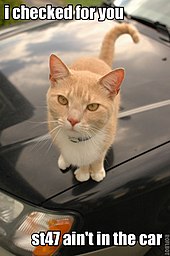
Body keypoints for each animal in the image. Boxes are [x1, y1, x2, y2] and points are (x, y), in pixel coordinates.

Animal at [46, 22, 139, 182]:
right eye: (62, 100)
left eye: (93, 107)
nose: (72, 120)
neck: (78, 142)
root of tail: (98, 59)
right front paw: (82, 170)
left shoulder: (107, 137)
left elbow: (98, 156)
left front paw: (94, 171)